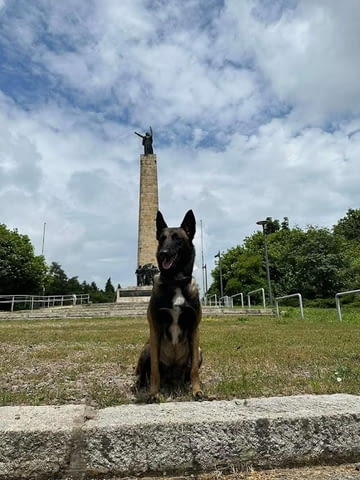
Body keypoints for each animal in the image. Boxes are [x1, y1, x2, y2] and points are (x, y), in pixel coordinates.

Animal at [136, 210, 202, 402]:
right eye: (161, 238)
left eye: (177, 238)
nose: (162, 253)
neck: (176, 281)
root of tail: (172, 380)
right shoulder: (155, 328)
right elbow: (154, 370)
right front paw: (153, 394)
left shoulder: (194, 328)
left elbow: (194, 370)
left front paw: (197, 391)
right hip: (147, 348)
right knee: (143, 374)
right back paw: (140, 387)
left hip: (199, 349)